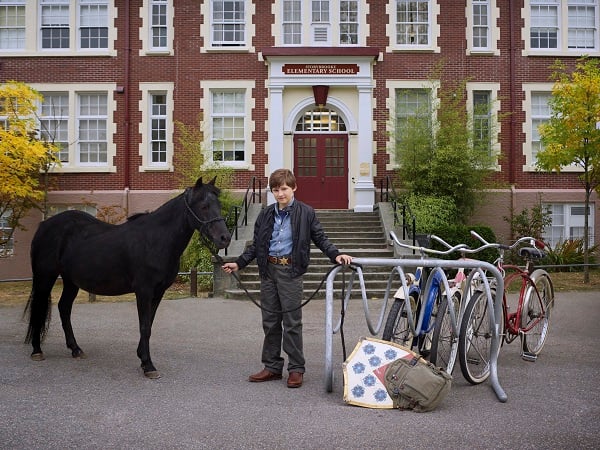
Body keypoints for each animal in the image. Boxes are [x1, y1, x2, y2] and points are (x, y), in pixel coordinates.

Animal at [24, 178, 230, 378]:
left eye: (219, 205)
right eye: (203, 206)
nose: (225, 238)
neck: (156, 240)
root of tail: (44, 225)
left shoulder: (158, 293)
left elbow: (149, 324)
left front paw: (142, 358)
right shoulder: (144, 291)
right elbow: (144, 326)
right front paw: (148, 365)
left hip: (70, 281)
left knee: (64, 308)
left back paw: (75, 349)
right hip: (45, 277)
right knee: (39, 307)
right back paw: (37, 350)